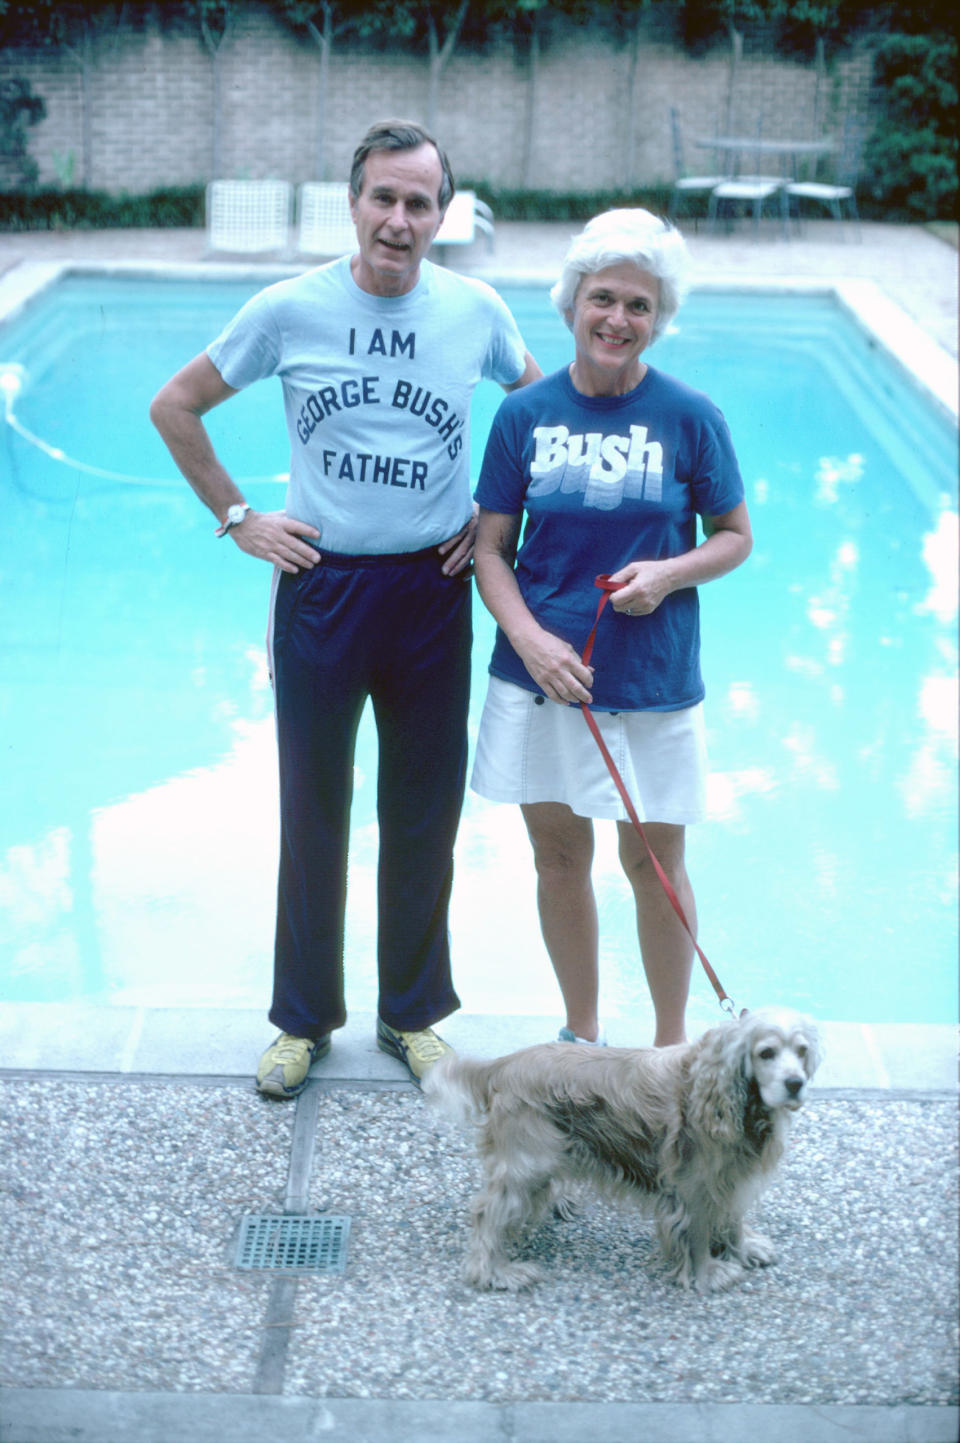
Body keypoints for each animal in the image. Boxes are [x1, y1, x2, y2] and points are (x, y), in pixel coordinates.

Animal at [424, 1004, 819, 1298]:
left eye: (802, 1052)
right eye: (766, 1053)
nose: (795, 1083)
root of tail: (502, 1065)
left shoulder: (731, 1178)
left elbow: (733, 1219)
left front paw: (744, 1248)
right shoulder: (694, 1185)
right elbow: (697, 1233)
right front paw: (708, 1273)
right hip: (527, 1163)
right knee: (486, 1215)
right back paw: (496, 1273)